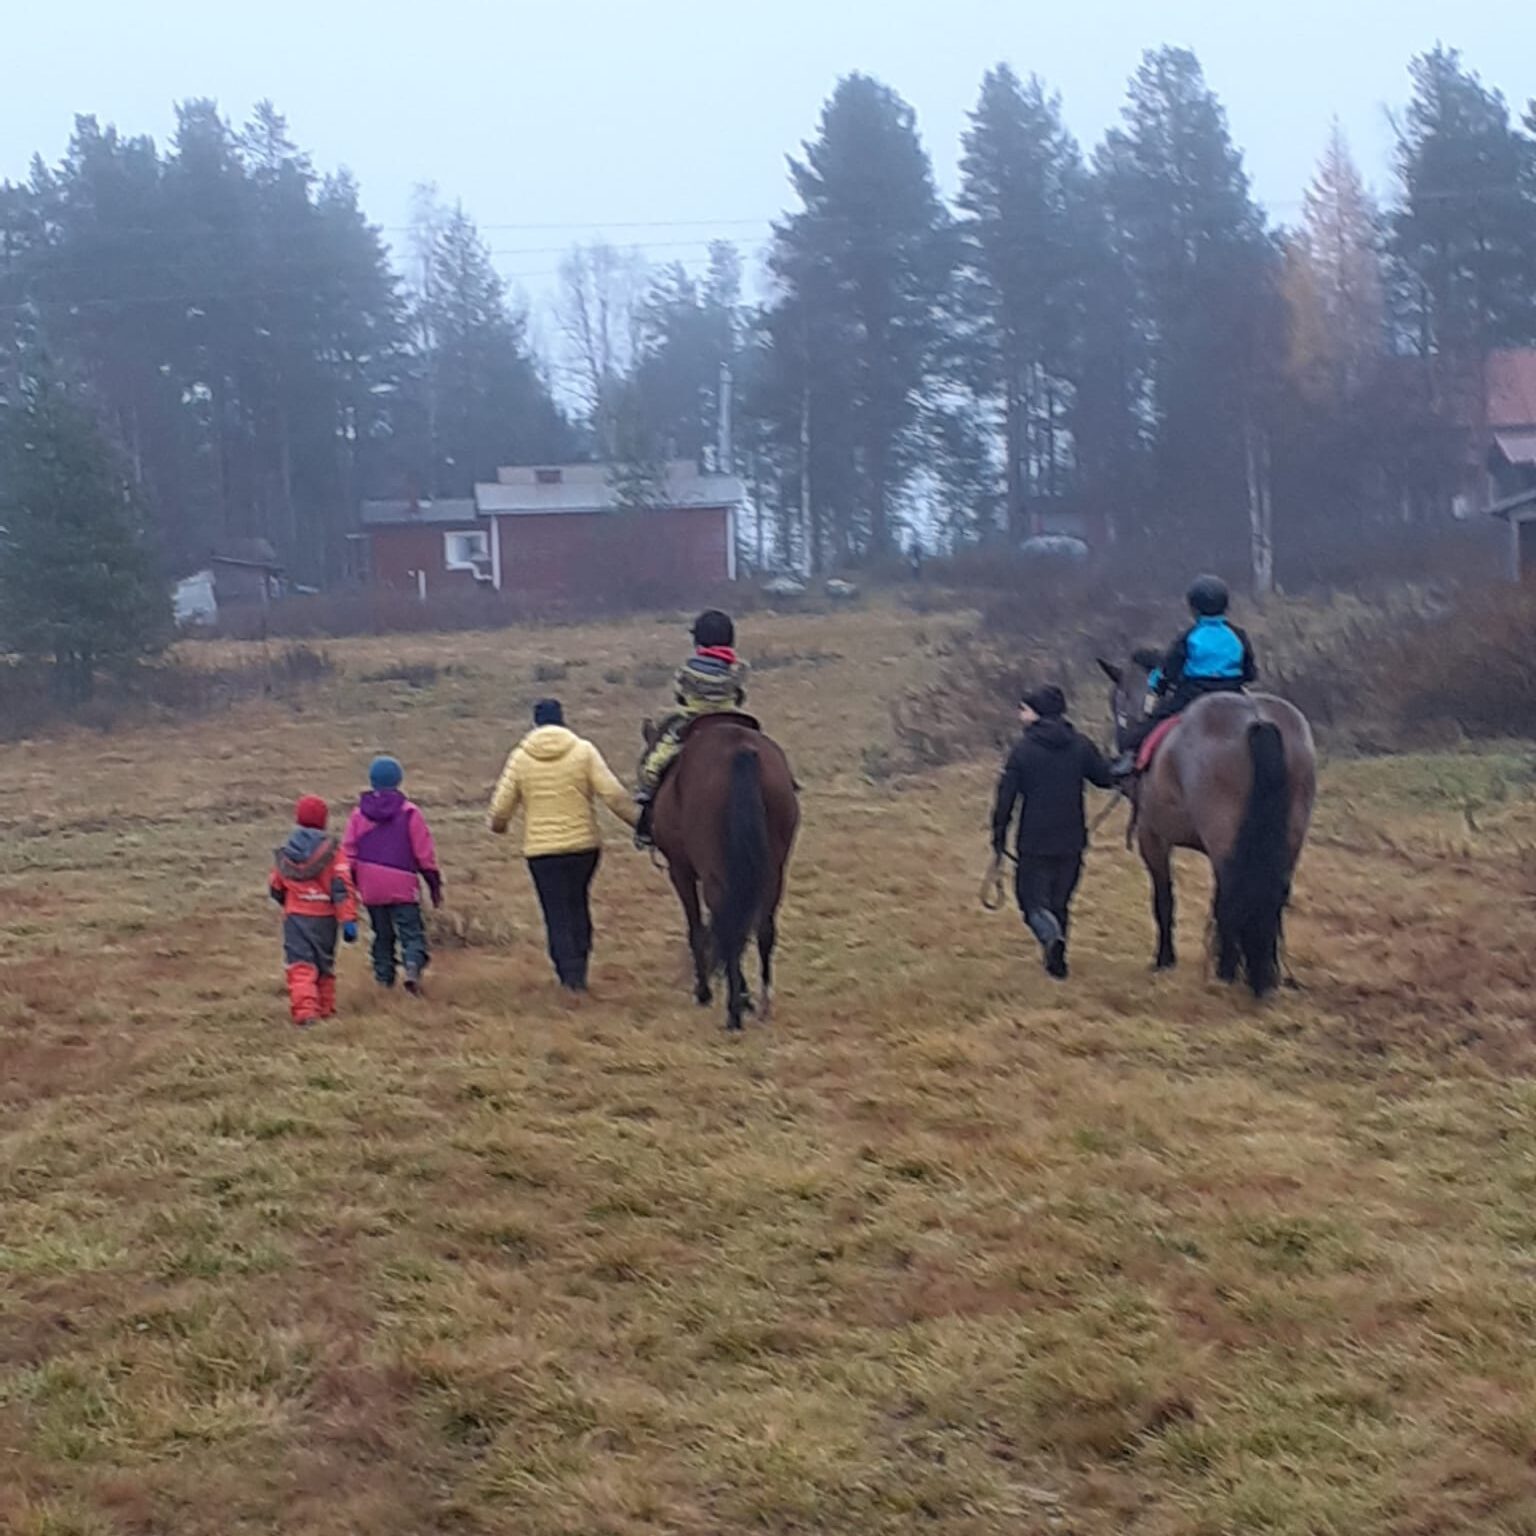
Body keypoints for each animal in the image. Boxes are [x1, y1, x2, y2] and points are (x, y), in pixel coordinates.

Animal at [642, 709, 798, 1026]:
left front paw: (705, 992)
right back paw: (762, 1004)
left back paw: (733, 1013)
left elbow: (698, 928)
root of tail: (741, 751)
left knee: (728, 926)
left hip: (714, 872)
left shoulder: (681, 870)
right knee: (763, 928)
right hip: (772, 872)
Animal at [1099, 657, 1314, 995]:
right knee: (1268, 896)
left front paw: (1164, 959)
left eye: (1116, 701)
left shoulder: (1152, 836)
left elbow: (1164, 899)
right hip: (1286, 841)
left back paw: (1230, 971)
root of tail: (1257, 719)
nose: (1118, 752)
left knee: (1233, 896)